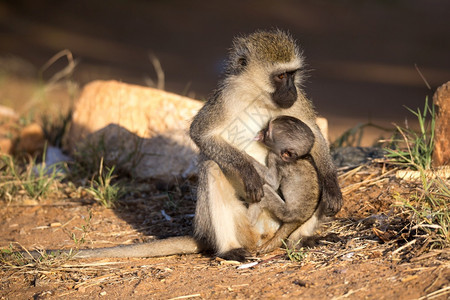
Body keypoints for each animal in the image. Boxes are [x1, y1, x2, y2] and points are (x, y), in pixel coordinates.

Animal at [251, 115, 322, 253]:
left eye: (267, 132)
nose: (261, 131)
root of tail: (299, 219)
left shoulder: (274, 156)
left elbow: (272, 183)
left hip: (287, 213)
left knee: (265, 191)